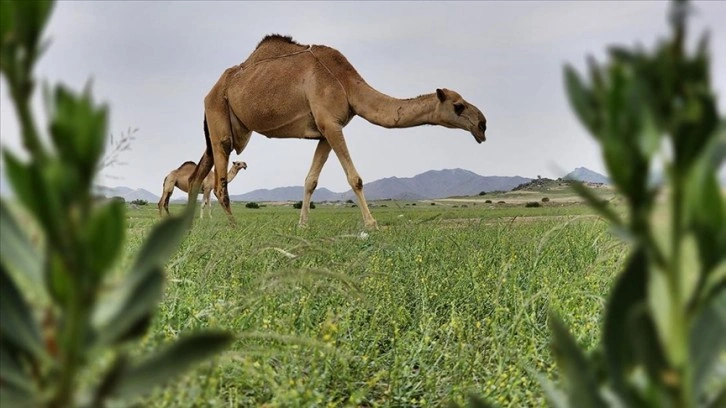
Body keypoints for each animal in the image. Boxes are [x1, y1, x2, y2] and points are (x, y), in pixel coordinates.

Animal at [191, 34, 490, 230]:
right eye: (459, 106)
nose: (483, 125)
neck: (346, 83)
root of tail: (210, 91)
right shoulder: (330, 123)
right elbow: (354, 178)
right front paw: (371, 223)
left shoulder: (326, 131)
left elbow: (310, 180)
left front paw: (302, 225)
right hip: (220, 120)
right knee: (219, 182)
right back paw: (234, 226)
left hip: (220, 127)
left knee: (198, 175)